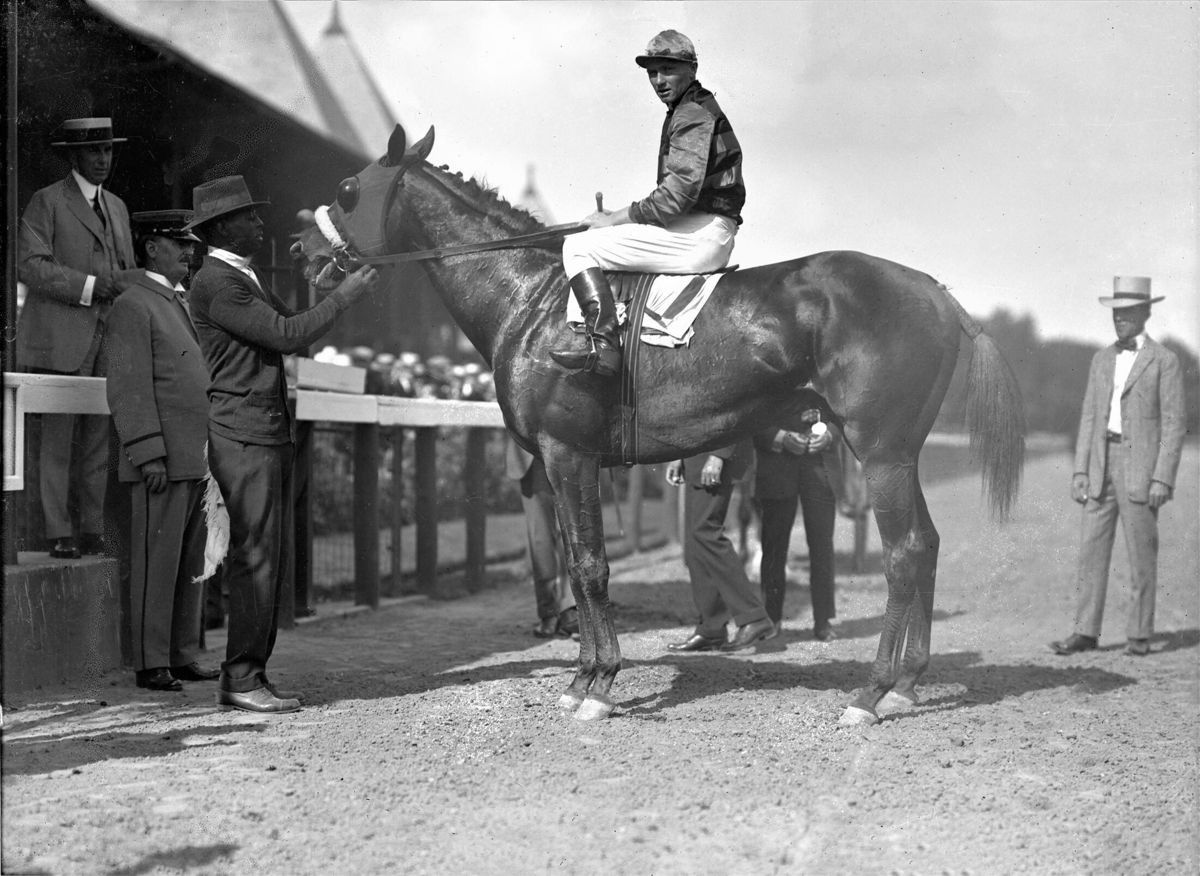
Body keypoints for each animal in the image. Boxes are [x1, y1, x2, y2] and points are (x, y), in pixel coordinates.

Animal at [292, 123, 1022, 724]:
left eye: (348, 190)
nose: (301, 247)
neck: (533, 299)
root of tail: (933, 289)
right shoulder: (558, 463)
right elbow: (572, 559)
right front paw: (580, 677)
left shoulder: (568, 454)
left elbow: (590, 564)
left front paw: (598, 684)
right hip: (900, 453)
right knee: (925, 545)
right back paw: (907, 683)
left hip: (881, 452)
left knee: (904, 553)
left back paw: (872, 694)